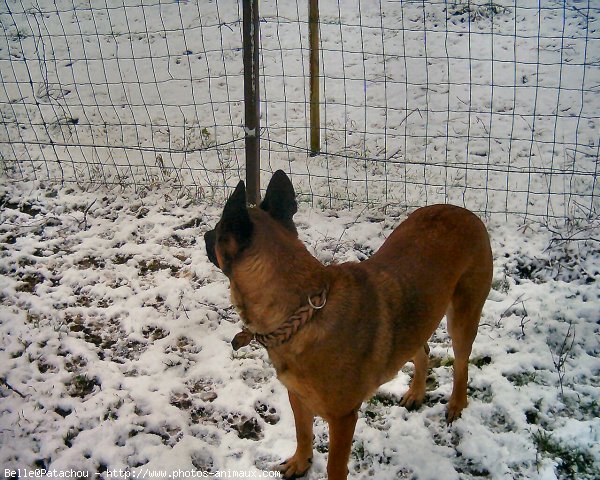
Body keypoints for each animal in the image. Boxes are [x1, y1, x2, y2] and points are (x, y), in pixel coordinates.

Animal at [204, 172, 494, 480]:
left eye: (217, 231)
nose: (205, 235)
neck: (303, 312)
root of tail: (463, 212)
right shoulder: (297, 396)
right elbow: (303, 433)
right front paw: (301, 462)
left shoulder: (342, 418)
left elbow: (335, 466)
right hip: (414, 322)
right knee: (422, 350)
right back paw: (416, 393)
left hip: (462, 317)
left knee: (461, 364)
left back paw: (456, 403)